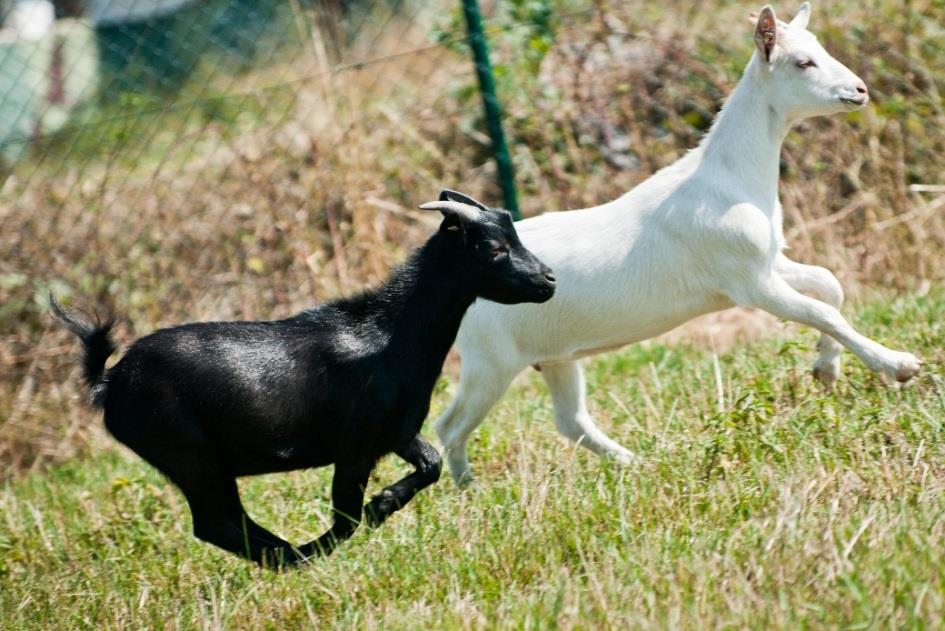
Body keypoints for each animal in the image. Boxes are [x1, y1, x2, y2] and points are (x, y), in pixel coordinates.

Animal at [53, 191, 552, 568]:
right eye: (493, 248)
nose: (548, 279)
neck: (388, 335)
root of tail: (109, 381)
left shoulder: (394, 432)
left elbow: (429, 464)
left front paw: (384, 503)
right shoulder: (354, 444)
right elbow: (348, 515)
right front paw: (370, 514)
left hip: (203, 463)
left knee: (227, 520)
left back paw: (287, 555)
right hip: (189, 455)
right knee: (215, 523)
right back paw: (296, 557)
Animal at [438, 1, 920, 484]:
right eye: (803, 62)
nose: (859, 90)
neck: (729, 176)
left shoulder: (768, 262)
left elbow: (828, 284)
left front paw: (826, 370)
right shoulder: (751, 283)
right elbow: (822, 311)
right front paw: (900, 365)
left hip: (554, 355)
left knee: (570, 419)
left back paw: (636, 463)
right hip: (490, 362)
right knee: (451, 426)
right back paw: (468, 488)